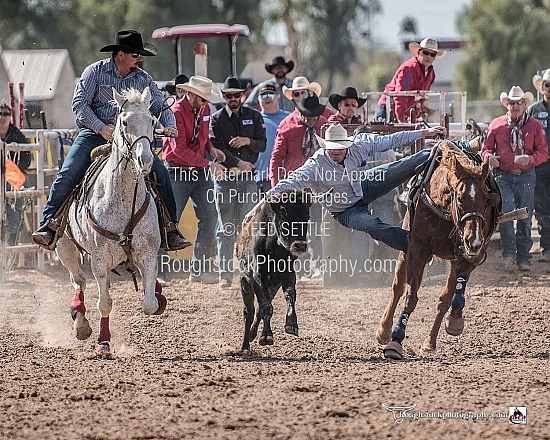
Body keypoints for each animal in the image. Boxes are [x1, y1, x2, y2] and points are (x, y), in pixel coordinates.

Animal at [58, 87, 166, 356]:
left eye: (152, 120)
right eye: (124, 121)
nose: (145, 160)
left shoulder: (148, 253)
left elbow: (149, 303)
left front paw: (158, 297)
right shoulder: (99, 261)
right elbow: (105, 303)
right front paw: (102, 342)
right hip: (64, 248)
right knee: (78, 280)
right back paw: (81, 323)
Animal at [378, 141, 502, 360]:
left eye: (486, 199)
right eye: (459, 198)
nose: (474, 240)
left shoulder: (471, 253)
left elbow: (454, 293)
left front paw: (455, 321)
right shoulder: (417, 248)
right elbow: (410, 297)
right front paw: (395, 340)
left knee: (444, 299)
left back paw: (430, 342)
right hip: (405, 251)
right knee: (398, 287)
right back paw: (384, 330)